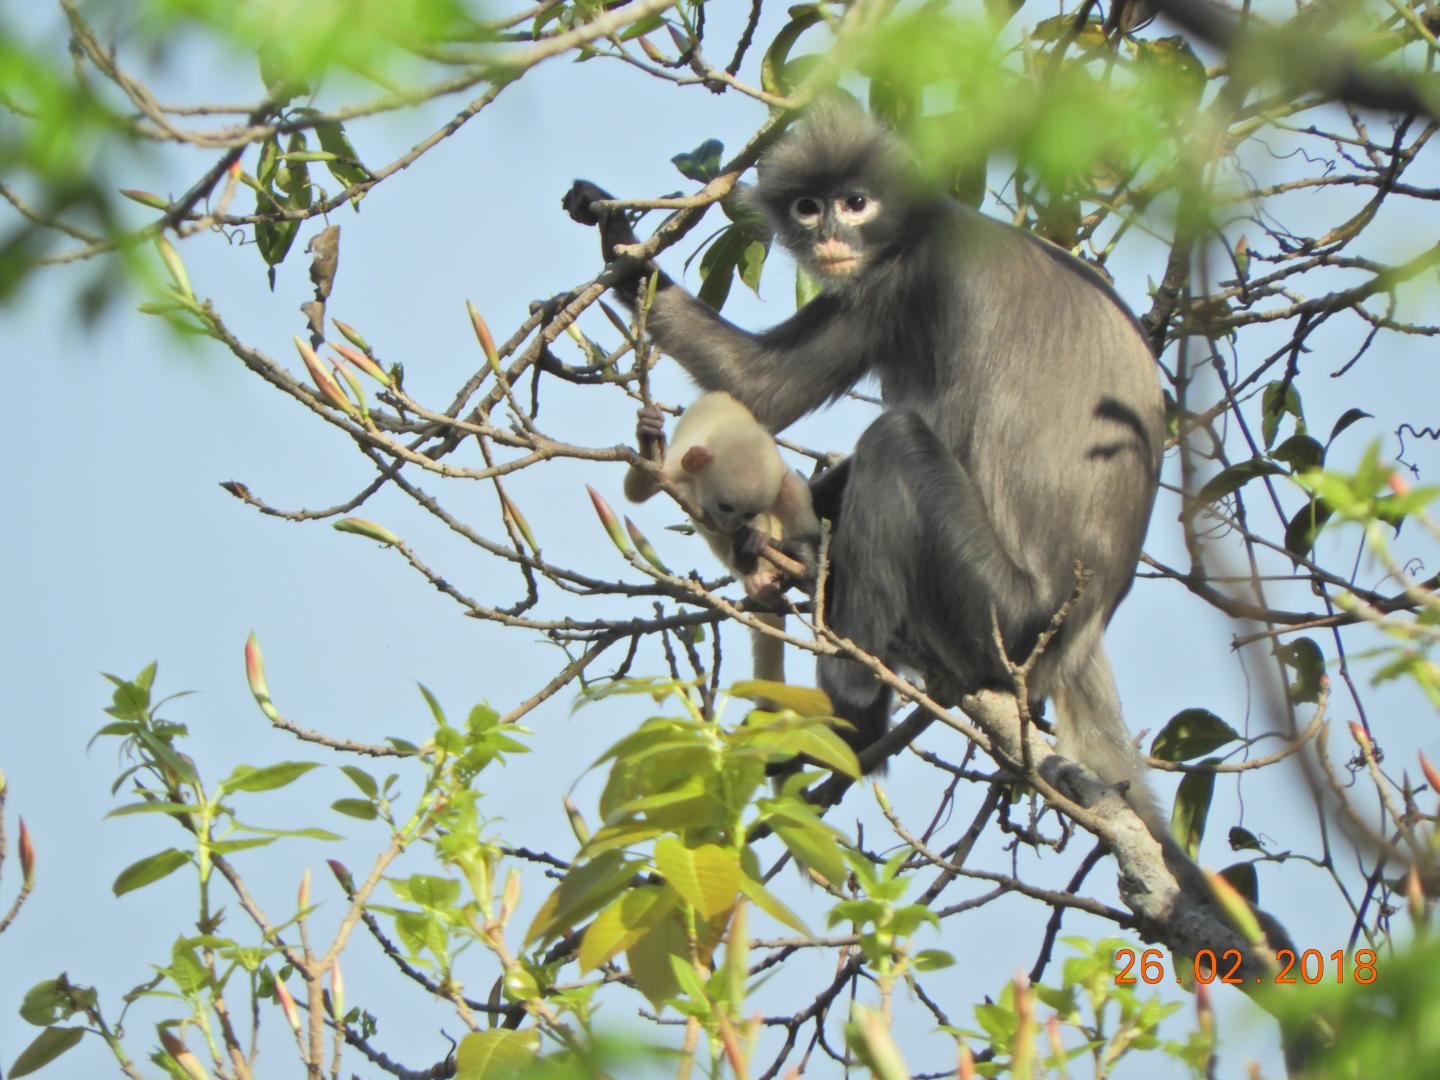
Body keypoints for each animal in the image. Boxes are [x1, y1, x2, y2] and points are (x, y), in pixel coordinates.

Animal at [561, 105, 1169, 829]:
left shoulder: (914, 280)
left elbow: (770, 391)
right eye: (808, 206)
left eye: (856, 204)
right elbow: (760, 387)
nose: (828, 234)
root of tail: (1081, 627)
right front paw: (616, 238)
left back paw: (850, 722)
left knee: (896, 441)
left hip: (1001, 614)